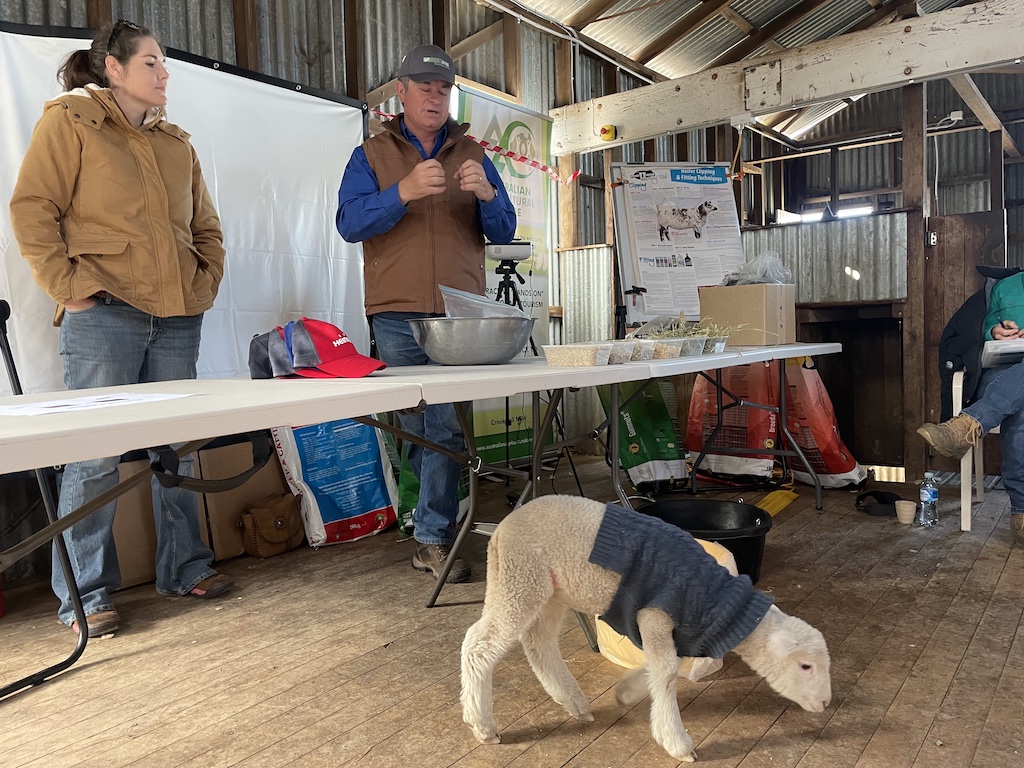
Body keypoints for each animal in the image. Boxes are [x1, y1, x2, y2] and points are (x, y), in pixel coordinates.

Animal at [464, 495, 831, 761]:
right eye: (806, 666)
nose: (826, 703)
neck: (713, 599)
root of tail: (500, 529)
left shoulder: (673, 631)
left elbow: (665, 667)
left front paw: (629, 692)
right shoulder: (654, 615)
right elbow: (667, 671)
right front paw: (677, 742)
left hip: (551, 591)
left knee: (538, 642)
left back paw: (573, 703)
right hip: (520, 579)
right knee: (479, 645)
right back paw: (482, 726)